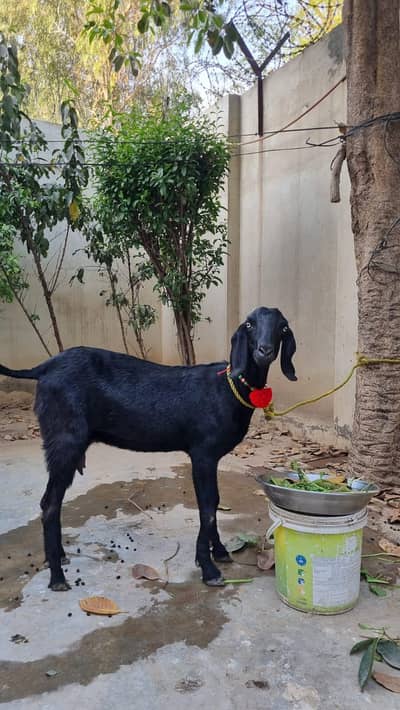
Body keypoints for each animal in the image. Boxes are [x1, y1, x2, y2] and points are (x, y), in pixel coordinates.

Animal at [0, 306, 297, 590]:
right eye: (249, 324)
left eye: (283, 327)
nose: (264, 351)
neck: (228, 387)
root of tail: (43, 368)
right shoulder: (202, 453)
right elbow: (207, 507)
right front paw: (209, 568)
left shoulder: (209, 457)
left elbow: (214, 503)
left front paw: (221, 551)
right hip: (65, 440)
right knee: (49, 503)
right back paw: (57, 578)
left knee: (52, 501)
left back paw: (60, 557)